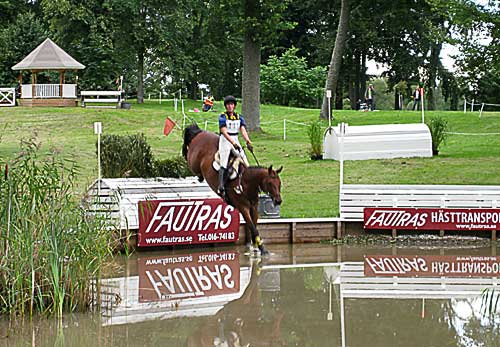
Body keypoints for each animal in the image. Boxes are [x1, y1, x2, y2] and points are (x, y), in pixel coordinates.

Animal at [182, 123, 282, 254]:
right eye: (270, 183)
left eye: (279, 184)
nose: (278, 201)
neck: (246, 183)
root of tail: (200, 133)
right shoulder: (243, 207)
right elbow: (253, 227)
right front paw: (262, 249)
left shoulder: (254, 207)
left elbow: (253, 226)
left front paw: (255, 246)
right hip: (193, 160)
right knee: (188, 156)